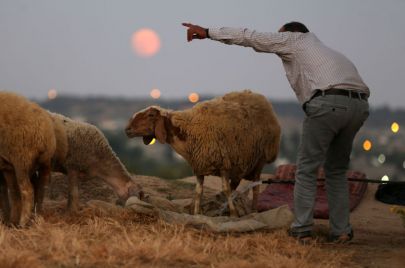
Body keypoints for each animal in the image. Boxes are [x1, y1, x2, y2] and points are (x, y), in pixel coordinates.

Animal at [0, 91, 57, 226]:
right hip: (44, 164)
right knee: (39, 189)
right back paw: (34, 218)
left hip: (22, 161)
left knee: (27, 190)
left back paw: (23, 222)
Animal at [124, 89, 280, 217]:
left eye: (150, 115)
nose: (127, 129)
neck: (189, 129)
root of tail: (259, 97)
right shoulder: (199, 165)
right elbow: (199, 191)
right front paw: (197, 213)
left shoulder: (223, 164)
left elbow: (226, 189)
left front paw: (234, 214)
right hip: (240, 162)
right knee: (235, 184)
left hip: (259, 160)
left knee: (255, 186)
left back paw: (252, 209)